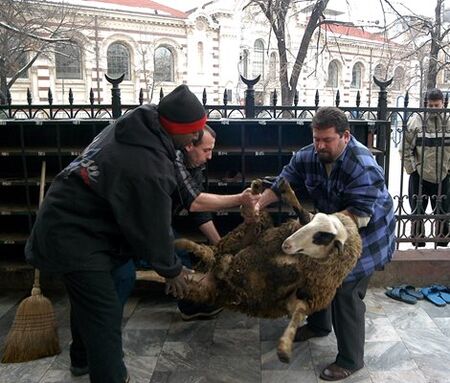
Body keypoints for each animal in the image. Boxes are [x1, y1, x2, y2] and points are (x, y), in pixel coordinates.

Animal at [176, 182, 362, 364]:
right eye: (311, 224)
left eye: (321, 237)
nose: (286, 244)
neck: (301, 259)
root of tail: (202, 276)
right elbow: (301, 211)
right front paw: (286, 189)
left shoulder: (302, 300)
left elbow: (296, 317)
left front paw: (284, 349)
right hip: (247, 234)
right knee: (217, 249)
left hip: (206, 285)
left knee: (211, 258)